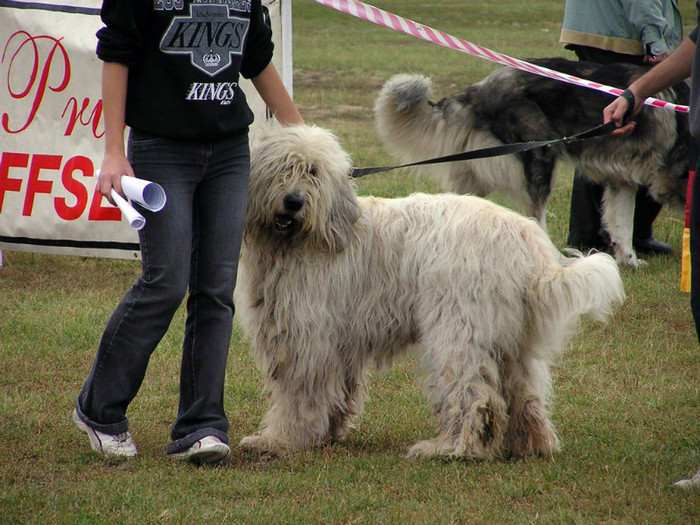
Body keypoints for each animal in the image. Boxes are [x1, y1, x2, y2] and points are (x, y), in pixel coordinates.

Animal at [235, 125, 624, 456]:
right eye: (282, 168)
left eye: (313, 172)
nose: (293, 201)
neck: (305, 238)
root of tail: (525, 243)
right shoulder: (339, 340)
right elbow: (338, 392)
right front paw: (326, 433)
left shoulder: (306, 338)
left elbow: (297, 396)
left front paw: (279, 440)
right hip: (512, 338)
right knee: (522, 393)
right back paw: (532, 444)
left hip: (459, 327)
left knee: (472, 393)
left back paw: (452, 448)